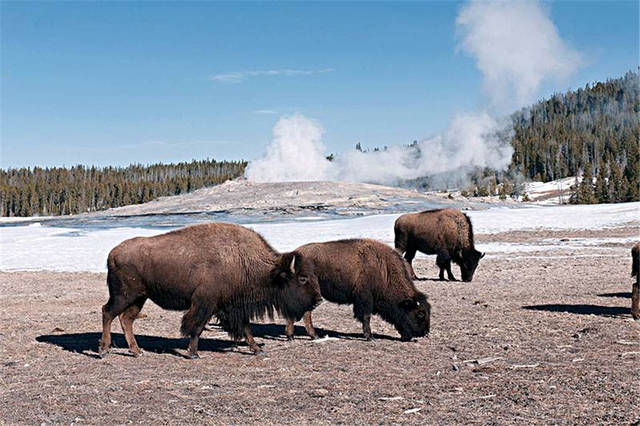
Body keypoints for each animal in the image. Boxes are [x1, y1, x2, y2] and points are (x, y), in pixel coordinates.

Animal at [98, 223, 322, 360]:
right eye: (302, 278)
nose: (318, 299)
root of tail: (113, 253)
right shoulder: (205, 303)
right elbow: (196, 327)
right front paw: (193, 353)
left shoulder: (233, 306)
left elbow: (246, 328)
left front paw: (257, 349)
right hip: (124, 295)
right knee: (108, 312)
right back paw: (104, 349)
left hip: (139, 298)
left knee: (126, 319)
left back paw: (137, 351)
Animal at [284, 240, 430, 342]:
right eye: (420, 314)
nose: (424, 333)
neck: (384, 271)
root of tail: (295, 254)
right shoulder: (365, 300)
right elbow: (366, 317)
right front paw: (370, 337)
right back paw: (295, 336)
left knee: (305, 313)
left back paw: (309, 336)